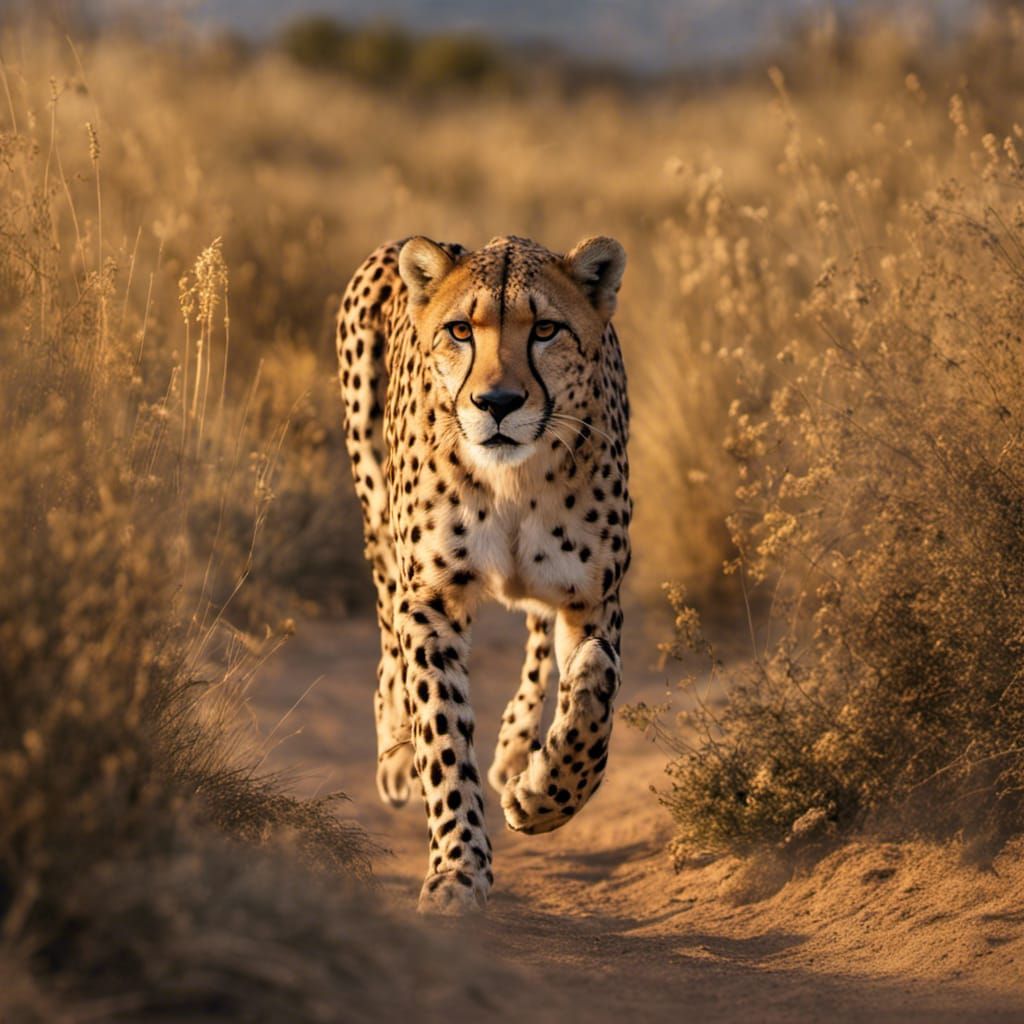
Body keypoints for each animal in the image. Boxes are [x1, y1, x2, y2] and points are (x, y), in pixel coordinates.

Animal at [336, 233, 631, 915]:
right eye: (461, 330)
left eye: (546, 329)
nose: (496, 404)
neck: (514, 479)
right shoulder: (431, 601)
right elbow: (442, 734)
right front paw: (457, 869)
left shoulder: (594, 598)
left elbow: (595, 700)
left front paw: (541, 795)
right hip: (374, 499)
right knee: (387, 624)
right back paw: (396, 745)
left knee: (538, 637)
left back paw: (518, 748)